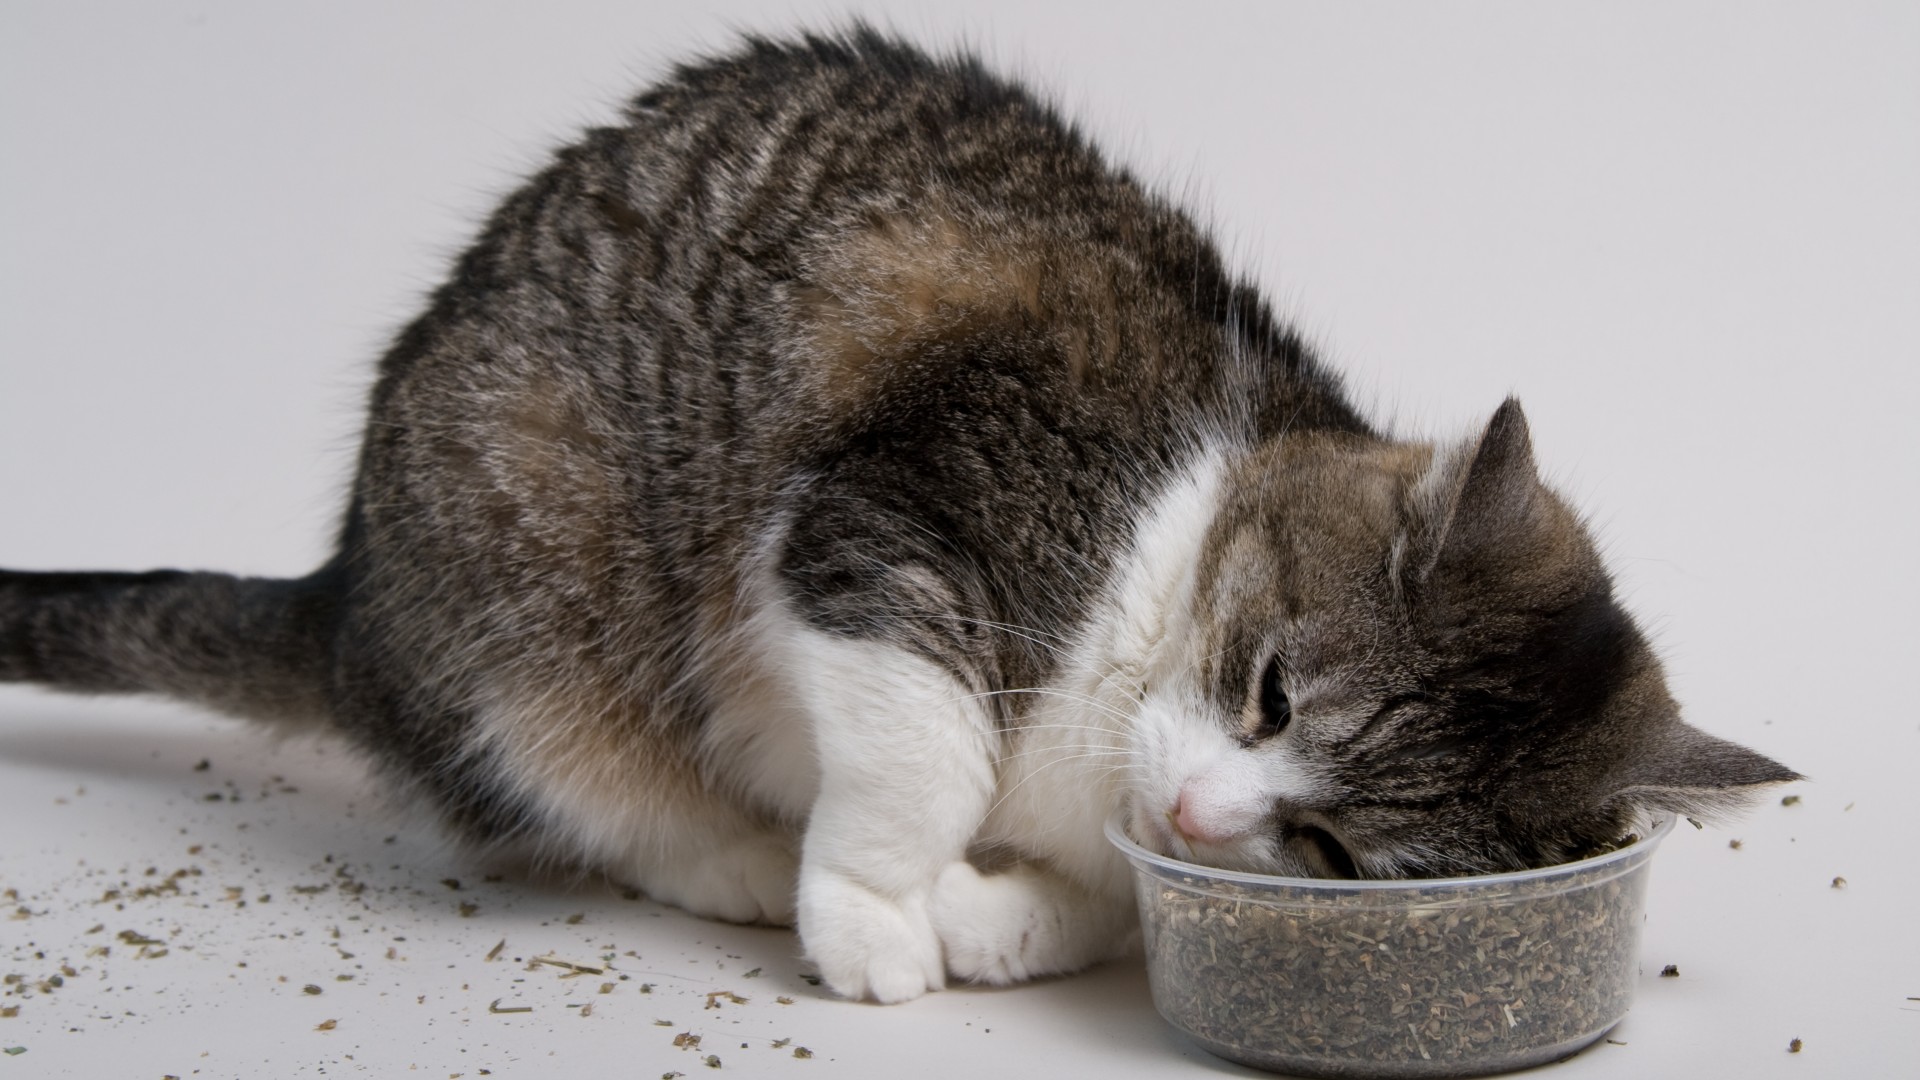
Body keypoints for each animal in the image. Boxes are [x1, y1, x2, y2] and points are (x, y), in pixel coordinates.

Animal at [3, 27, 1797, 999]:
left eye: (1335, 851)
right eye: (1272, 688)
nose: (1205, 811)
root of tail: (347, 595)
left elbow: (1083, 893)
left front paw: (1000, 916)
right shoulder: (887, 512)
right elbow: (923, 749)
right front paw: (875, 915)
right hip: (527, 580)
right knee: (578, 779)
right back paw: (738, 854)